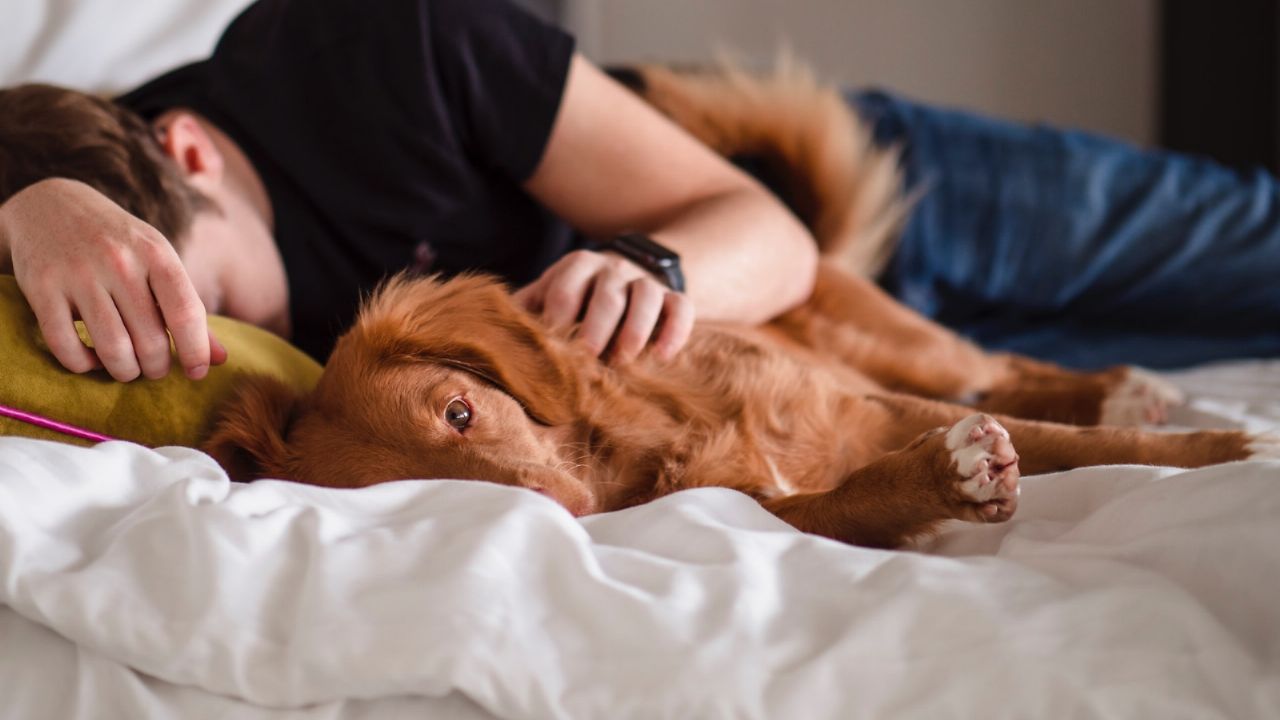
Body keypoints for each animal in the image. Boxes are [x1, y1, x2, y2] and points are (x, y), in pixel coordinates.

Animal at [204, 63, 1274, 543]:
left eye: (462, 411)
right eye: (425, 495)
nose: (566, 512)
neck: (645, 438)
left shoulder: (869, 401)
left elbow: (1089, 446)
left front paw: (1229, 448)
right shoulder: (761, 504)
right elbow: (850, 497)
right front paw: (944, 479)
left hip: (910, 348)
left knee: (1004, 365)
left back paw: (1125, 387)